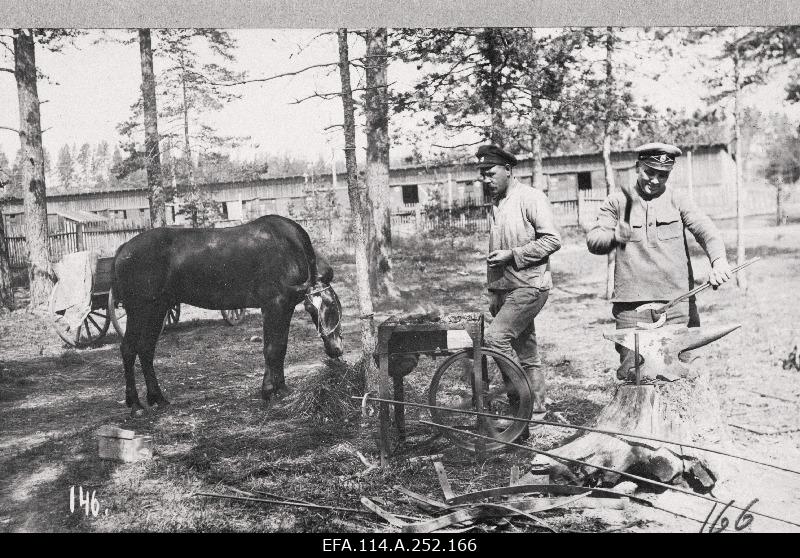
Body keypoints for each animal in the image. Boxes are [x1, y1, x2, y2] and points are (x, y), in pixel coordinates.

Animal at [111, 214, 342, 416]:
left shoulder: (285, 308)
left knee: (146, 350)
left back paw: (157, 398)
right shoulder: (273, 306)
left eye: (332, 306)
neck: (288, 247)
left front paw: (282, 389)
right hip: (139, 311)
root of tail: (123, 249)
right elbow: (272, 349)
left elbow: (281, 347)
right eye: (324, 307)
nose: (336, 350)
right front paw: (268, 390)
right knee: (129, 349)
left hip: (157, 310)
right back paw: (135, 404)